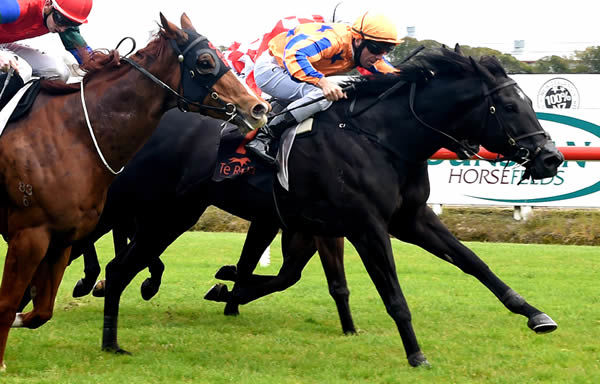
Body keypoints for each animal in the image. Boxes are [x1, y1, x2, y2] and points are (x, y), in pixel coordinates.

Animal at [0, 12, 270, 372]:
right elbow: (7, 305)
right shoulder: (29, 234)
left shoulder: (62, 236)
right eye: (205, 61)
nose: (258, 108)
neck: (74, 133)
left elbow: (40, 311)